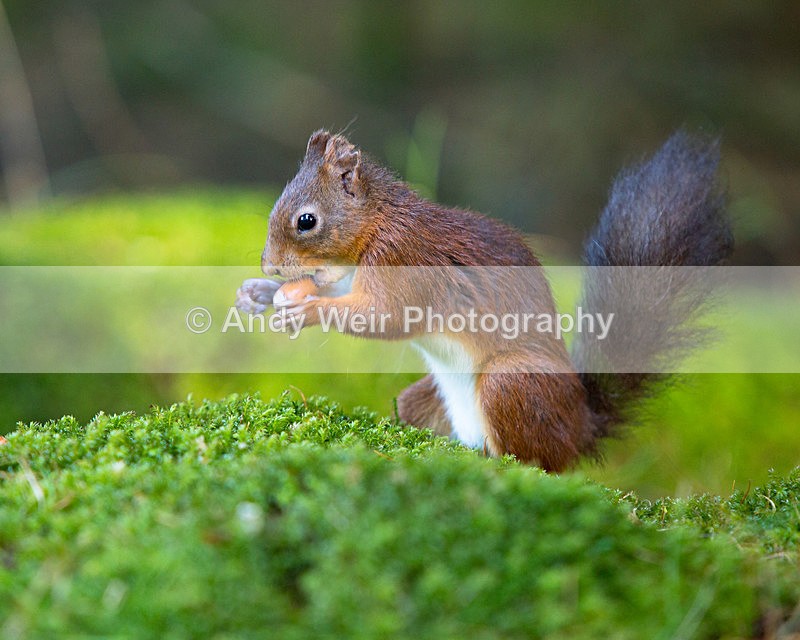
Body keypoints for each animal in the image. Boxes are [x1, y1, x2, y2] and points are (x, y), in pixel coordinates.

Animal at [236, 129, 733, 471]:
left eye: (306, 221)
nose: (269, 266)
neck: (377, 223)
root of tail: (581, 425)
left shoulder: (404, 259)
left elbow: (387, 317)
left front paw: (305, 308)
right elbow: (339, 290)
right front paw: (257, 294)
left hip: (511, 384)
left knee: (539, 463)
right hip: (425, 401)